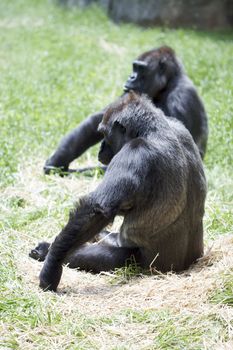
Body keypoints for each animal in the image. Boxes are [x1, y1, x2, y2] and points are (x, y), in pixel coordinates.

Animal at [30, 91, 207, 292]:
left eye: (104, 134)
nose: (101, 149)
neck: (155, 130)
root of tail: (190, 263)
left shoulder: (134, 153)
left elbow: (97, 210)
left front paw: (51, 267)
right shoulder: (179, 127)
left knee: (108, 255)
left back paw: (45, 251)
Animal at [44, 45, 208, 174]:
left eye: (141, 68)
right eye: (134, 67)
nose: (131, 77)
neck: (167, 84)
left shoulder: (182, 96)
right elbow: (99, 119)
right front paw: (58, 159)